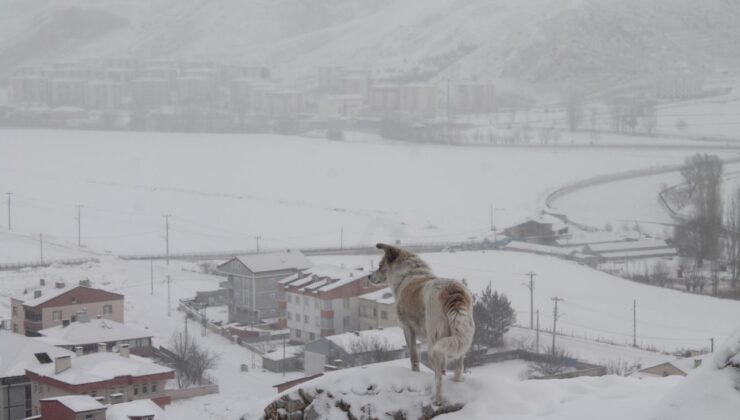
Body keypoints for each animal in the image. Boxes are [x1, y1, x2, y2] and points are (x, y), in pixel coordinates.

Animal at [368, 243, 474, 404]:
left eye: (380, 266)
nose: (368, 277)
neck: (408, 274)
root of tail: (452, 291)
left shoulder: (407, 329)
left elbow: (414, 358)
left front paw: (415, 374)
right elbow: (443, 367)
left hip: (433, 343)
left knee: (438, 378)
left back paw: (437, 400)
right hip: (461, 338)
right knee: (458, 366)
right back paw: (456, 383)